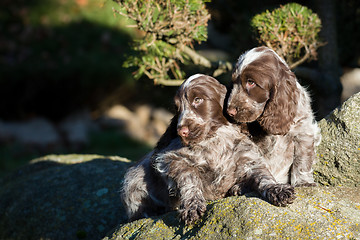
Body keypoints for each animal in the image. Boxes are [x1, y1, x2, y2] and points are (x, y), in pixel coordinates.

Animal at [121, 73, 296, 225]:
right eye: (178, 108)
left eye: (198, 100)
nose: (181, 131)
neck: (214, 138)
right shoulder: (172, 160)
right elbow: (190, 180)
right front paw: (192, 206)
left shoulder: (248, 158)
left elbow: (264, 176)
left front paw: (277, 190)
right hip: (135, 176)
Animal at [226, 46, 322, 186]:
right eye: (233, 83)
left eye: (251, 82)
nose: (230, 111)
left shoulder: (303, 130)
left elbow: (302, 159)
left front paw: (304, 182)